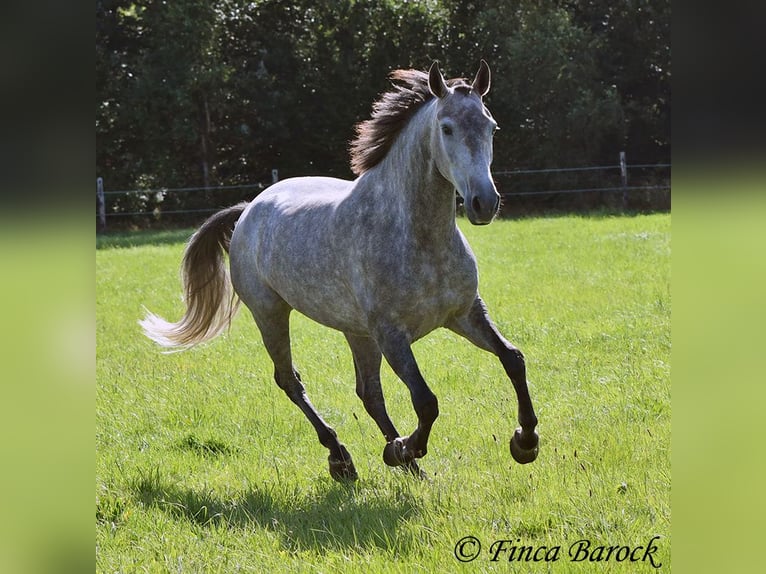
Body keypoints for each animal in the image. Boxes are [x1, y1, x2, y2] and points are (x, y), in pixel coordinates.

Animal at [142, 60, 540, 482]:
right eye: (446, 128)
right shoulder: (392, 335)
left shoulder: (465, 314)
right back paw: (345, 458)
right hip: (271, 313)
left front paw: (525, 442)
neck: (417, 236)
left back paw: (404, 463)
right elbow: (426, 401)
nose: (485, 202)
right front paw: (405, 447)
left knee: (368, 393)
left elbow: (513, 359)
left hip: (356, 332)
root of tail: (249, 208)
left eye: (491, 127)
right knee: (291, 382)